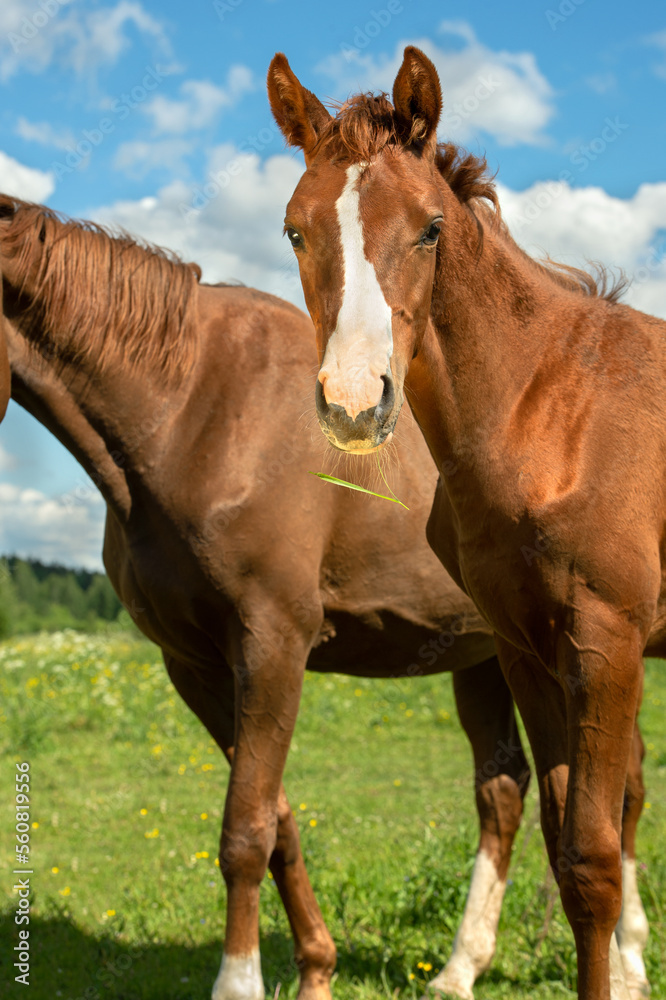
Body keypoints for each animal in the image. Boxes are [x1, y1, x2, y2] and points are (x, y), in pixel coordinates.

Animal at [1, 197, 544, 1000]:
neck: (191, 405)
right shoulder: (195, 665)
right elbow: (276, 817)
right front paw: (316, 967)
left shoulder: (273, 641)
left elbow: (245, 830)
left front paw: (240, 981)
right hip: (484, 656)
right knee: (504, 790)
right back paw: (460, 968)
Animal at [268, 47, 656, 1000]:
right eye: (295, 231)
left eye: (430, 228)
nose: (354, 404)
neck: (552, 415)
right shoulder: (523, 645)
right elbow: (564, 846)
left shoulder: (607, 641)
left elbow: (595, 856)